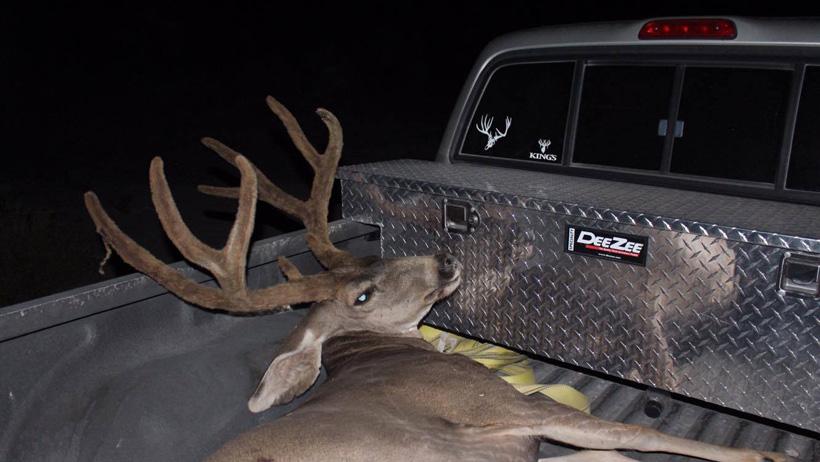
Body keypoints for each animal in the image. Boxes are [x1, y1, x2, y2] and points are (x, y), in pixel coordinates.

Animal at [84, 96, 790, 462]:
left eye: (375, 263)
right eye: (362, 293)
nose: (445, 263)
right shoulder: (503, 410)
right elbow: (637, 434)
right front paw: (767, 455)